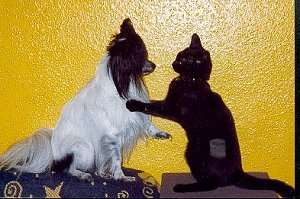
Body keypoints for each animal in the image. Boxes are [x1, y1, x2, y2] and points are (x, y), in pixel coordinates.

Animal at [0, 18, 170, 182]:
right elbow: (116, 159)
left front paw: (160, 133)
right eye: (141, 57)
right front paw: (121, 176)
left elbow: (147, 124)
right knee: (68, 168)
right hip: (84, 147)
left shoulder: (131, 116)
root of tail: (53, 153)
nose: (154, 65)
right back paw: (82, 175)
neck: (121, 83)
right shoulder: (112, 135)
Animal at [125, 34, 294, 197]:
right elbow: (152, 102)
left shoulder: (171, 108)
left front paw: (132, 104)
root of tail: (238, 173)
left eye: (183, 60)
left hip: (193, 151)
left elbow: (151, 106)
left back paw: (182, 187)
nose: (174, 62)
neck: (192, 81)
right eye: (179, 55)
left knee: (211, 184)